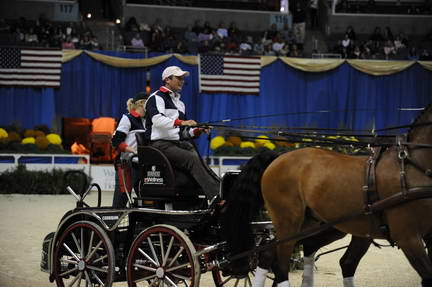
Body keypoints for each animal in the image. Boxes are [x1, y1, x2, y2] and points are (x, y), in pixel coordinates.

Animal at [224, 106, 432, 287]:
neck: (412, 165)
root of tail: (278, 158)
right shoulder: (408, 236)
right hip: (289, 222)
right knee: (280, 264)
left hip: (312, 223)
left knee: (272, 254)